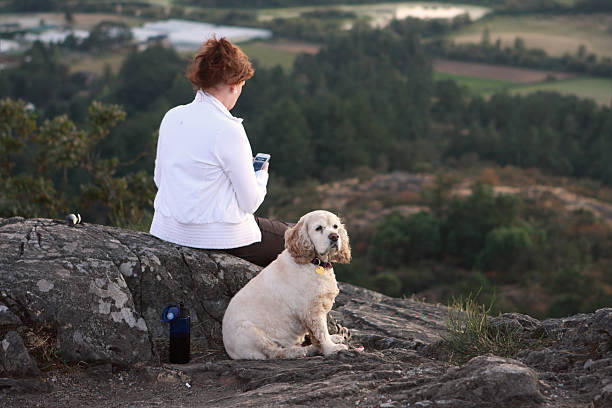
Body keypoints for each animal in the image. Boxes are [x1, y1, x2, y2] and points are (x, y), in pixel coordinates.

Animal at [222, 210, 352, 360]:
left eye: (335, 227)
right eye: (318, 228)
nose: (335, 236)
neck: (315, 263)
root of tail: (229, 350)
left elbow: (323, 330)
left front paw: (333, 339)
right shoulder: (311, 311)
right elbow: (321, 332)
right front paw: (332, 348)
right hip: (251, 331)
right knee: (276, 352)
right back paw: (305, 350)